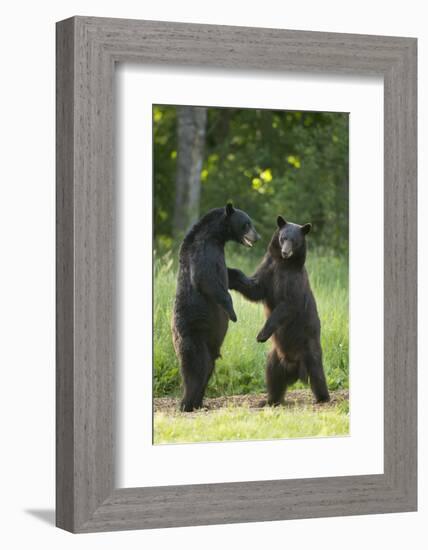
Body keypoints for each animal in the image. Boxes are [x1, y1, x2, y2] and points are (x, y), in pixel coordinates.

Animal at [171, 205, 260, 412]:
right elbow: (207, 278)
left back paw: (199, 403)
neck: (216, 236)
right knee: (197, 367)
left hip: (210, 343)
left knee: (208, 367)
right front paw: (233, 313)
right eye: (246, 223)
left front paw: (246, 281)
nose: (257, 237)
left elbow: (230, 273)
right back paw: (187, 403)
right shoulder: (202, 250)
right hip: (193, 333)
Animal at [227, 218, 332, 408]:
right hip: (274, 356)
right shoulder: (269, 269)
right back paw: (269, 400)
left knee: (317, 373)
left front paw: (261, 335)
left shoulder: (292, 281)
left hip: (309, 347)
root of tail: (294, 369)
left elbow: (285, 306)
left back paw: (322, 398)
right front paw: (230, 273)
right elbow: (255, 288)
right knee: (272, 376)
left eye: (294, 241)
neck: (283, 264)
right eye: (283, 238)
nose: (285, 252)